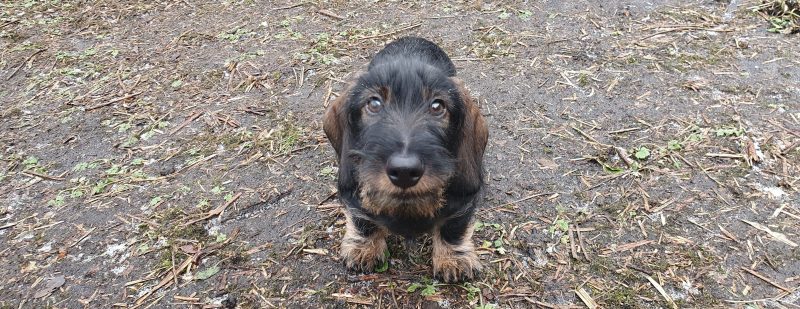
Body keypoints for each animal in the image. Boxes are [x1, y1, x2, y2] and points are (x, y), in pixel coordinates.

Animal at [324, 36, 488, 282]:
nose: (404, 171)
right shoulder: (354, 190)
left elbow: (454, 225)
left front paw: (453, 258)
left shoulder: (463, 199)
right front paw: (364, 247)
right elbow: (363, 218)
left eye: (437, 106)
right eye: (374, 103)